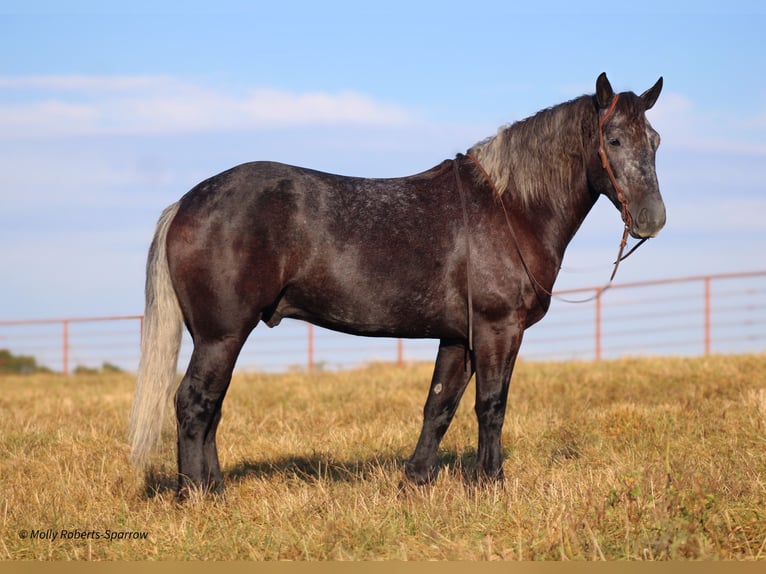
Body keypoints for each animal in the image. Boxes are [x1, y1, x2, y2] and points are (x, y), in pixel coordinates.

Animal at [127, 73, 664, 500]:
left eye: (655, 141)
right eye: (613, 139)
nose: (652, 219)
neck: (508, 209)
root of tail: (186, 202)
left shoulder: (460, 336)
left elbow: (439, 406)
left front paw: (416, 480)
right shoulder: (498, 329)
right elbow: (491, 405)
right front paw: (491, 485)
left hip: (219, 338)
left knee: (211, 408)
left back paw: (213, 489)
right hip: (221, 335)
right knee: (194, 404)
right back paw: (194, 496)